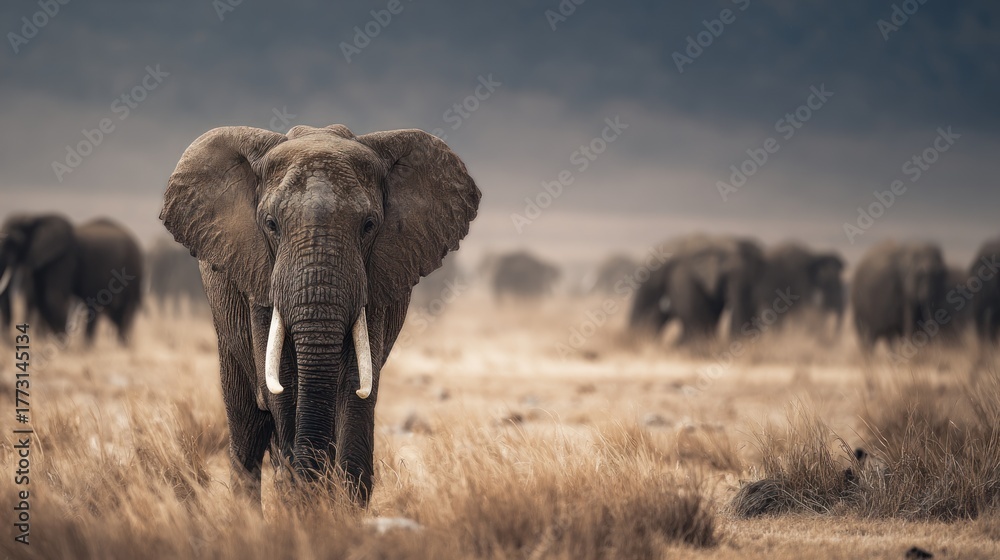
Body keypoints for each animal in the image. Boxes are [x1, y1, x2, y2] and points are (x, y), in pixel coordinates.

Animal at [0, 214, 144, 343]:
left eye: (13, 242)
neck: (34, 218)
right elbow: (41, 299)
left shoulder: (64, 258)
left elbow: (53, 297)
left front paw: (61, 347)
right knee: (111, 312)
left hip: (133, 270)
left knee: (123, 310)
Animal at [159, 124, 480, 506]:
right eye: (271, 224)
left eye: (369, 225)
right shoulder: (259, 276)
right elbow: (282, 381)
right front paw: (301, 498)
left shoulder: (375, 280)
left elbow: (357, 382)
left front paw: (339, 504)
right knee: (247, 427)